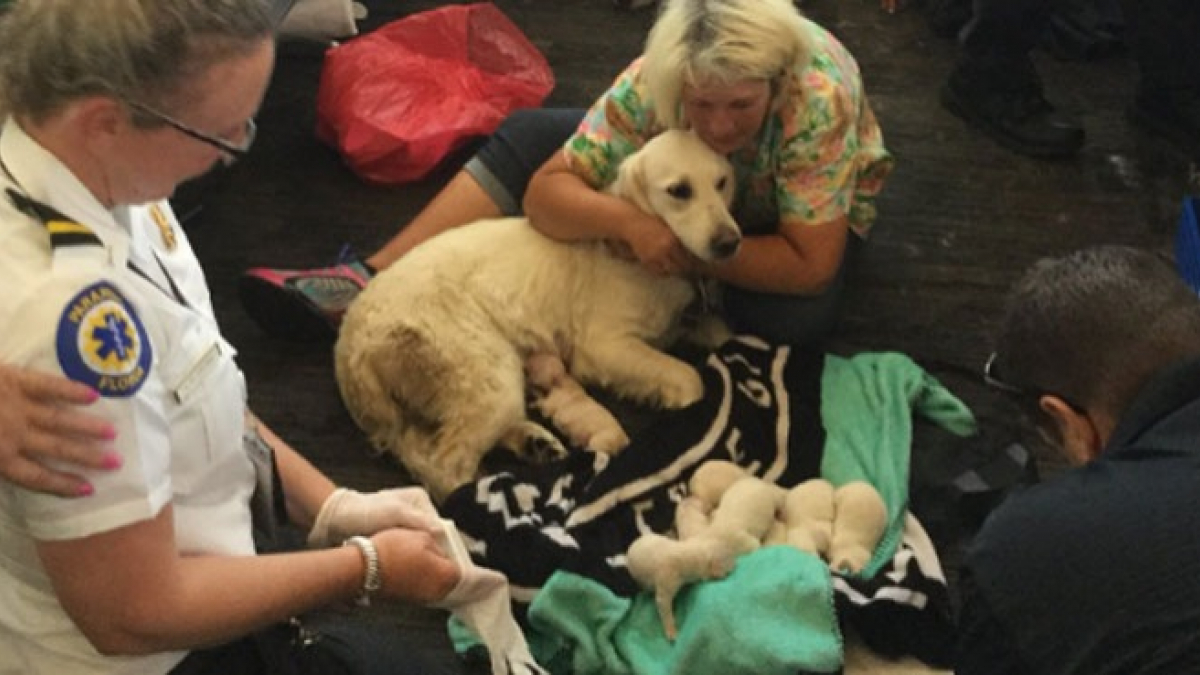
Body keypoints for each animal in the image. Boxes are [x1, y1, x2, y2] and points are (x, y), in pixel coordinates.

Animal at [333, 130, 734, 499]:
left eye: (722, 182)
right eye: (679, 191)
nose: (730, 242)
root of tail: (350, 348)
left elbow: (718, 331)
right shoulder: (604, 347)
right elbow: (688, 377)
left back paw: (535, 443)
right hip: (489, 372)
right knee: (446, 464)